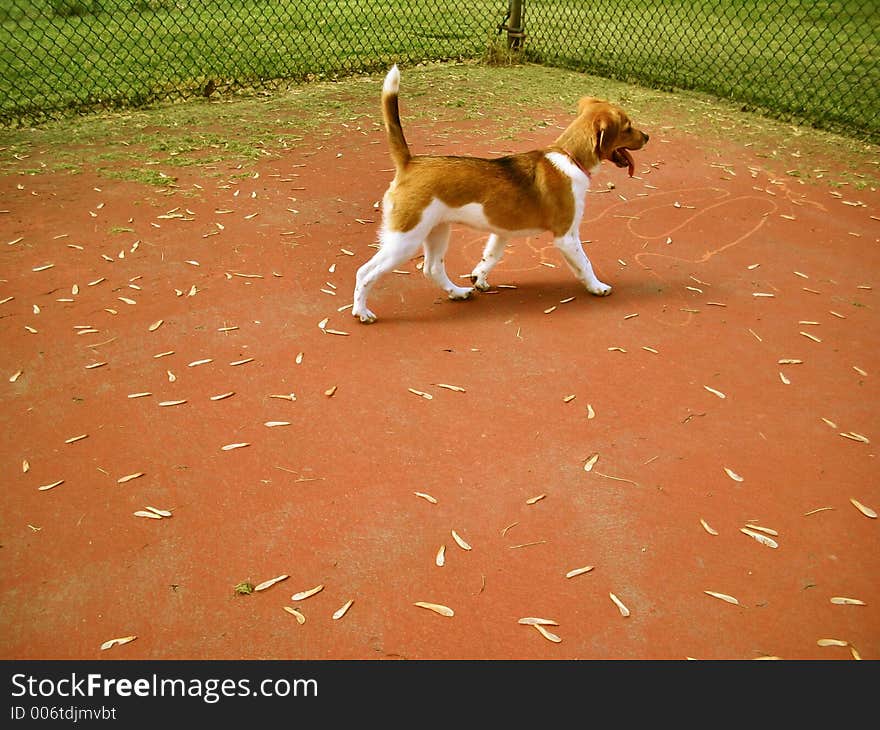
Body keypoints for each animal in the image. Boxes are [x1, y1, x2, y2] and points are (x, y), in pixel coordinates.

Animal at [350, 64, 648, 322]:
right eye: (628, 127)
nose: (647, 137)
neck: (569, 156)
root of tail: (410, 162)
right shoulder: (567, 236)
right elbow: (585, 264)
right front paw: (597, 287)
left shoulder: (501, 233)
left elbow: (489, 258)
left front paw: (478, 279)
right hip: (405, 239)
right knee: (365, 272)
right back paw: (362, 312)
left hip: (437, 231)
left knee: (433, 268)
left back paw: (458, 292)